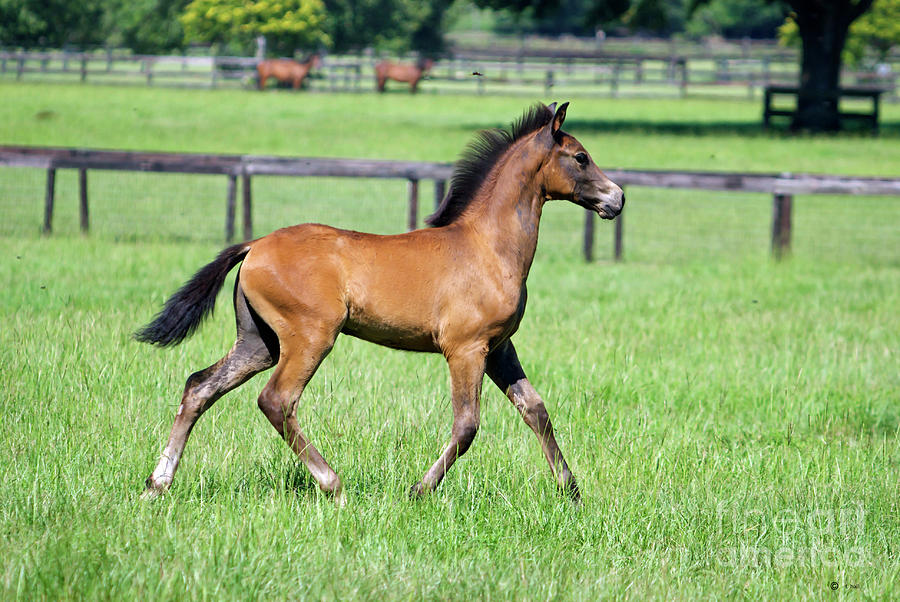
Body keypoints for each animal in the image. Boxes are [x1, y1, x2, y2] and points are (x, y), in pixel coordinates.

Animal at [135, 103, 624, 502]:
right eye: (580, 157)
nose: (617, 197)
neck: (487, 247)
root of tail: (254, 245)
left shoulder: (499, 347)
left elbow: (536, 410)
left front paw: (572, 492)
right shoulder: (465, 349)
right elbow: (467, 425)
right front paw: (419, 489)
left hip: (259, 341)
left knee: (200, 386)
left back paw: (157, 484)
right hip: (309, 337)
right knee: (276, 400)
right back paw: (333, 484)